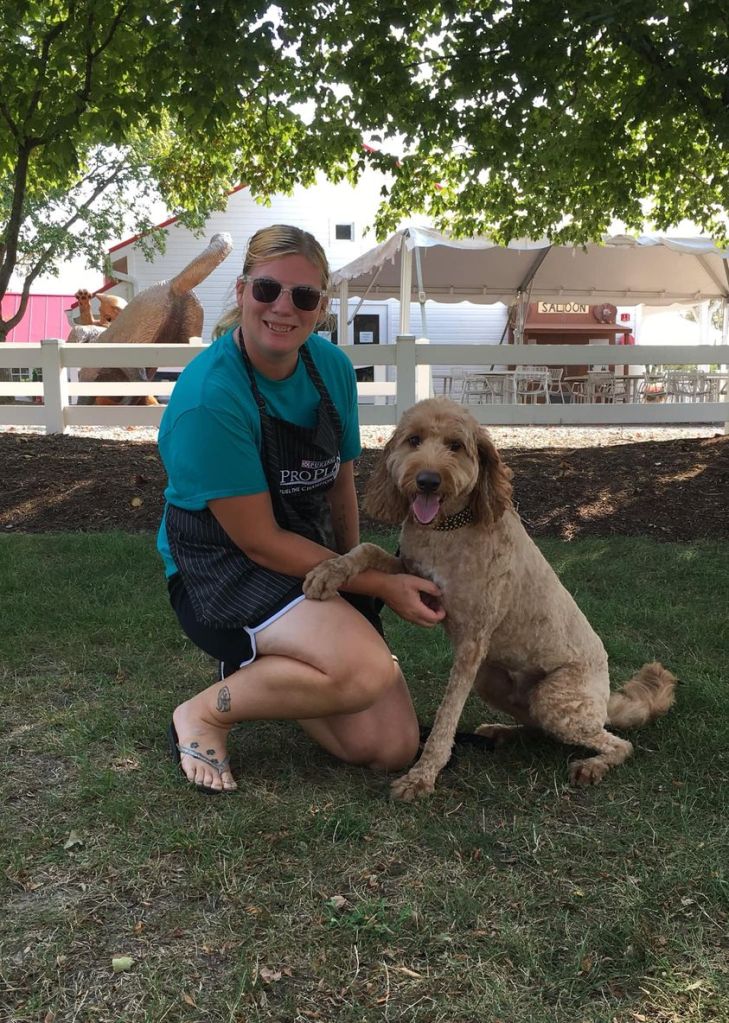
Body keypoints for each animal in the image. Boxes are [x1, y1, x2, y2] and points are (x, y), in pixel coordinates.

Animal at [304, 398, 676, 801]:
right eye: (413, 440)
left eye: (456, 446)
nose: (428, 480)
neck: (448, 529)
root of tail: (604, 701)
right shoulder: (411, 570)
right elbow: (368, 549)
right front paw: (328, 572)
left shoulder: (471, 643)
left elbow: (446, 716)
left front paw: (422, 776)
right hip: (493, 681)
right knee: (539, 729)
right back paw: (503, 733)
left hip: (555, 697)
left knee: (617, 743)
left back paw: (592, 765)